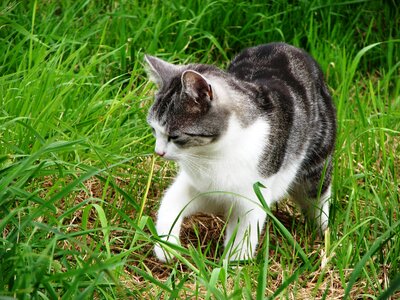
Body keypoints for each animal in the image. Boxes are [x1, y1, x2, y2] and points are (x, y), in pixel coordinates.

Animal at [145, 42, 336, 262]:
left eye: (174, 136)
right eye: (153, 130)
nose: (158, 152)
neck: (214, 153)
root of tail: (287, 46)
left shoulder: (252, 196)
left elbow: (244, 235)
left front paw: (234, 265)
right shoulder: (200, 186)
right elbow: (170, 203)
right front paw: (167, 247)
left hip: (317, 162)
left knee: (317, 197)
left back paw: (321, 233)